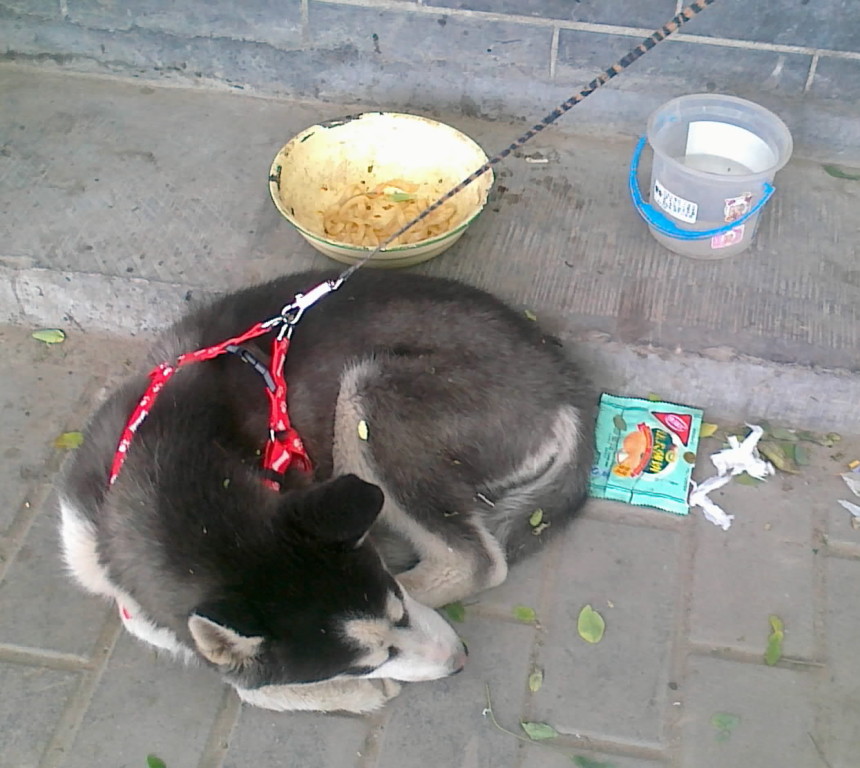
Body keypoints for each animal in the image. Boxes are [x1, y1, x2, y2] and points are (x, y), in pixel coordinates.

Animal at [57, 269, 593, 713]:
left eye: (397, 606)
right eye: (366, 661)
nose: (458, 659)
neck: (171, 457)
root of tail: (566, 384)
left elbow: (245, 683)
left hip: (368, 393)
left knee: (478, 560)